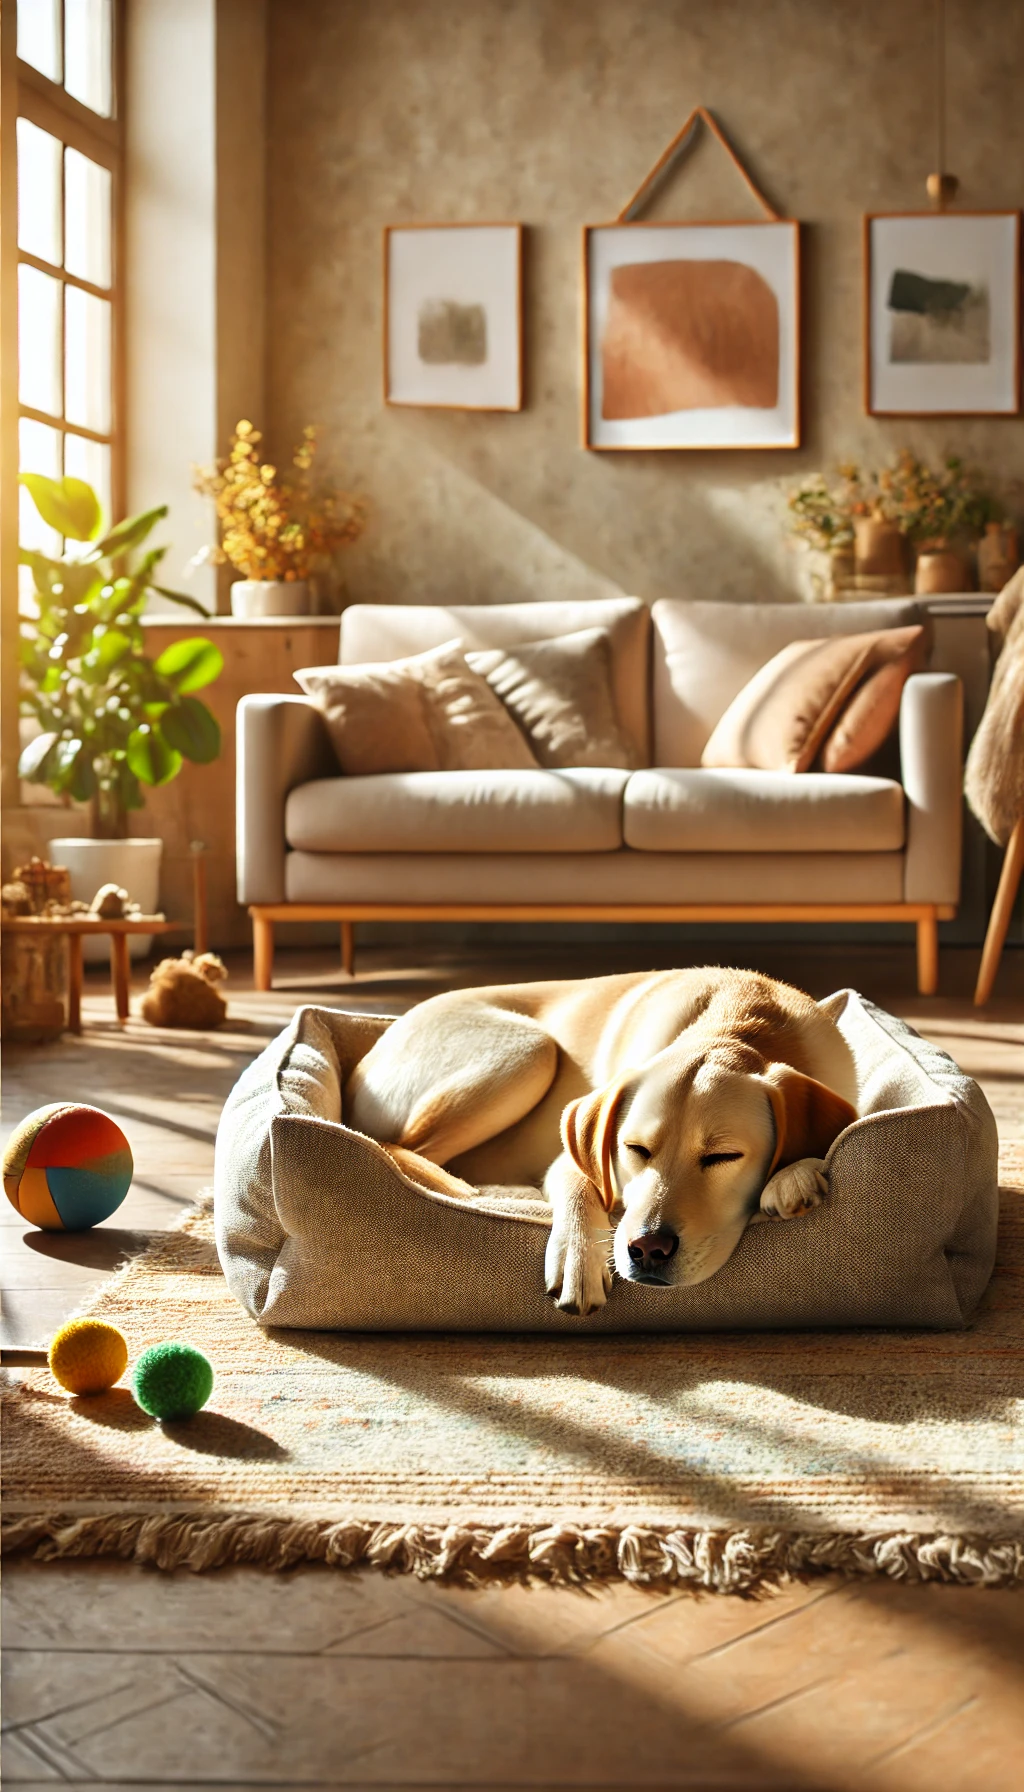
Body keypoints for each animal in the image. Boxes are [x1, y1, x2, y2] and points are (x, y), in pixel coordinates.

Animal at [347, 967, 860, 1318]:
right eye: (635, 1150)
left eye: (723, 1156)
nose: (648, 1249)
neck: (739, 1020)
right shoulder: (569, 1160)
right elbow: (582, 1186)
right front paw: (578, 1257)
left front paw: (793, 1175)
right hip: (530, 1049)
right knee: (403, 1148)